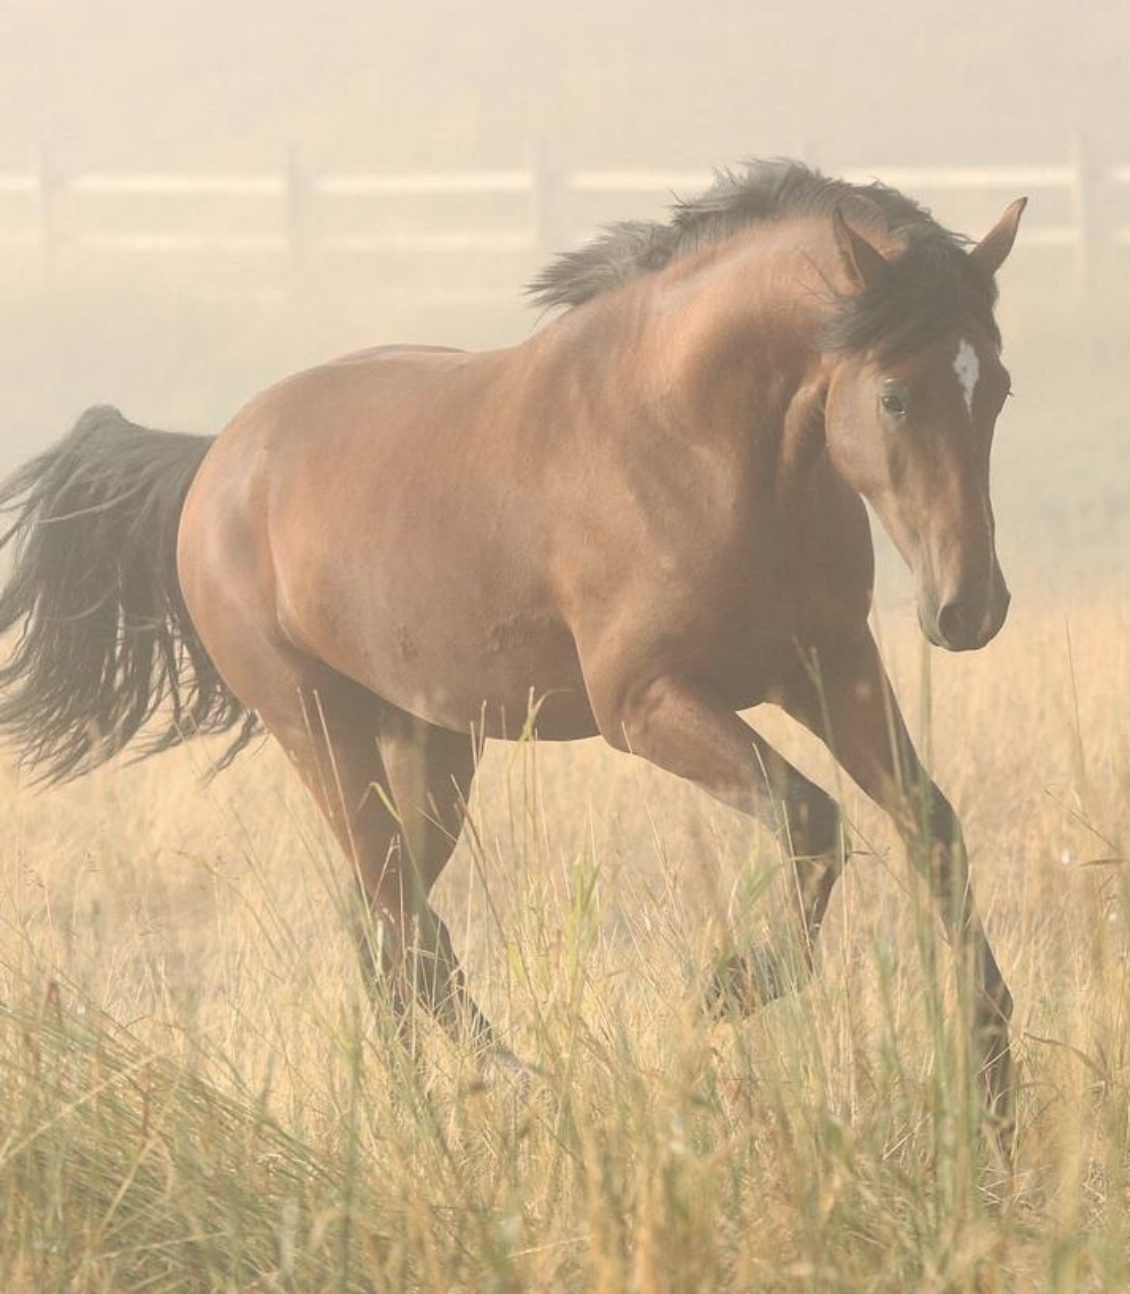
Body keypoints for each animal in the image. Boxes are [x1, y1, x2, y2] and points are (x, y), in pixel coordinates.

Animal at [0, 160, 1025, 1143]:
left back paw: (425, 1109)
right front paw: (726, 989)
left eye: (999, 388)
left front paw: (994, 1084)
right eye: (893, 395)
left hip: (432, 747)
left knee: (386, 925)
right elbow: (813, 819)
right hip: (316, 726)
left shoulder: (832, 669)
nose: (970, 608)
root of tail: (219, 458)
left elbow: (932, 825)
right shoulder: (646, 703)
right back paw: (508, 1087)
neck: (697, 439)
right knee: (405, 927)